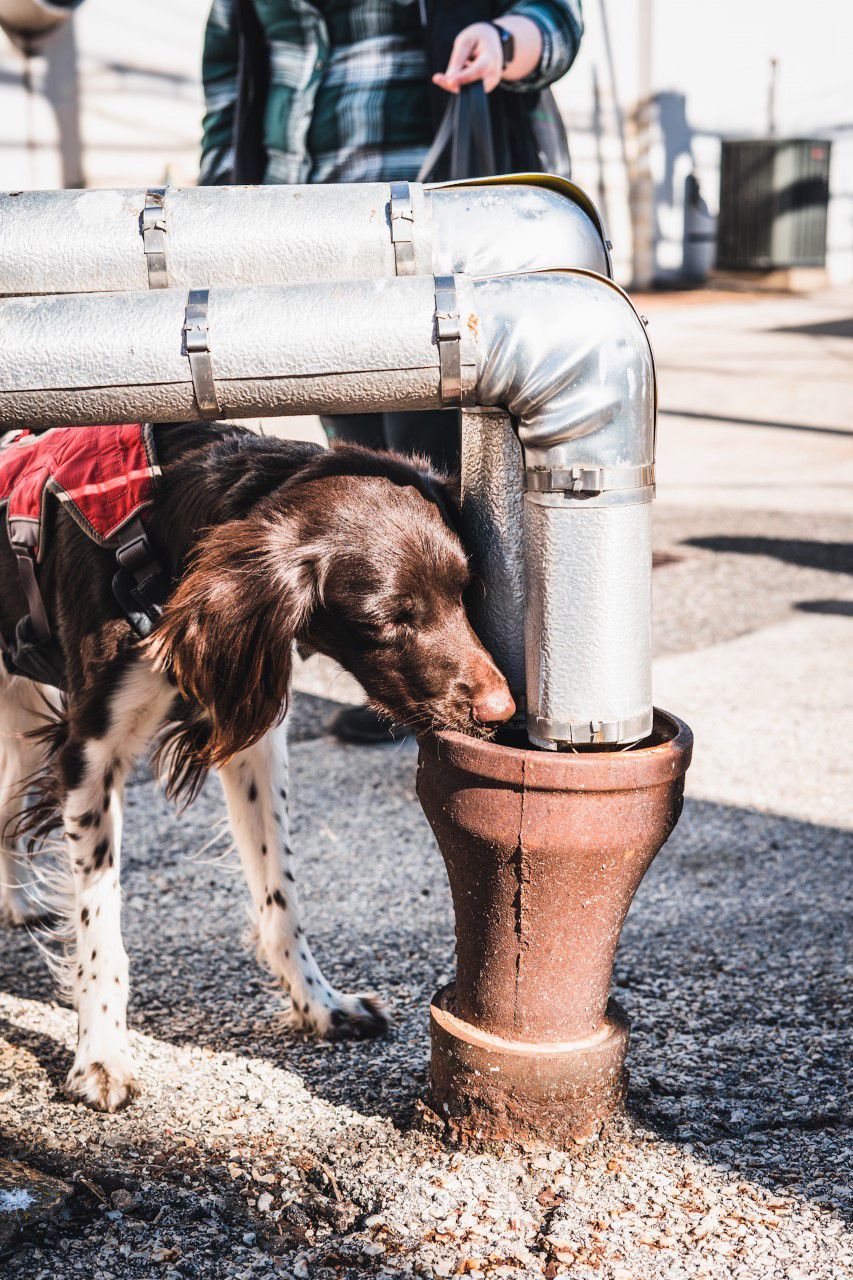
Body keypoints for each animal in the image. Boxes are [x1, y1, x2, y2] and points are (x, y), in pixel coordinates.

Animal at [0, 422, 512, 1111]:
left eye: (464, 591)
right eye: (387, 619)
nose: (501, 710)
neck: (164, 540)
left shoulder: (251, 740)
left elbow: (280, 897)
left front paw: (320, 1005)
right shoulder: (92, 752)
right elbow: (101, 930)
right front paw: (101, 1056)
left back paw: (19, 900)